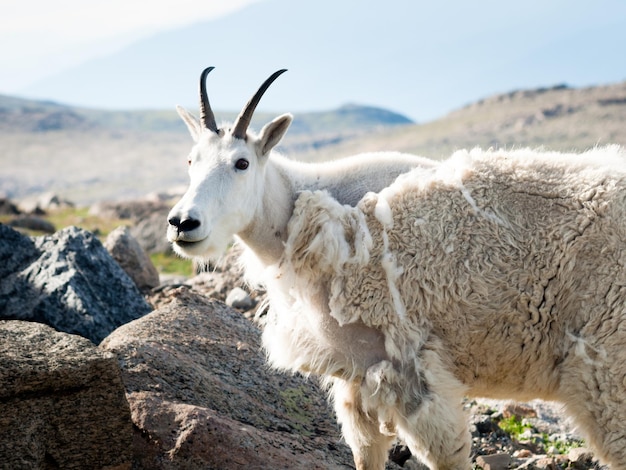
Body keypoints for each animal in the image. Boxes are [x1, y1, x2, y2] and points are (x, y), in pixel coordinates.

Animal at [167, 67, 624, 470]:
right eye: (190, 161)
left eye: (242, 163)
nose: (183, 223)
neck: (300, 215)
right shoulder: (358, 372)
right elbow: (365, 453)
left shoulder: (411, 368)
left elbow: (446, 456)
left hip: (607, 360)